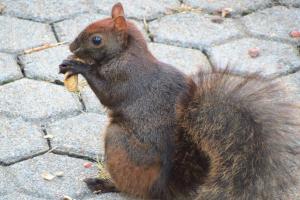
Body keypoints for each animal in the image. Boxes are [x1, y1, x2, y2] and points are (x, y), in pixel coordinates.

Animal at [58, 1, 300, 200]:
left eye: (96, 39)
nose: (70, 47)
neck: (126, 53)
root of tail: (163, 189)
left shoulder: (126, 77)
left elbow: (107, 92)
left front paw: (78, 65)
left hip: (118, 143)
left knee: (132, 189)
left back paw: (105, 183)